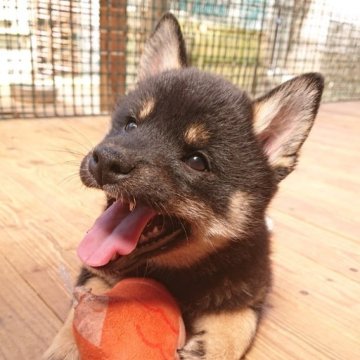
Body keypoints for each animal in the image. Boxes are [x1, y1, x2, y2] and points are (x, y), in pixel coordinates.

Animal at [44, 12, 324, 358]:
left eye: (196, 161)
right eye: (130, 125)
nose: (106, 160)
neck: (173, 275)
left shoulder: (252, 290)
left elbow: (237, 325)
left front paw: (209, 348)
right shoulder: (94, 271)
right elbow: (81, 306)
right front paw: (66, 345)